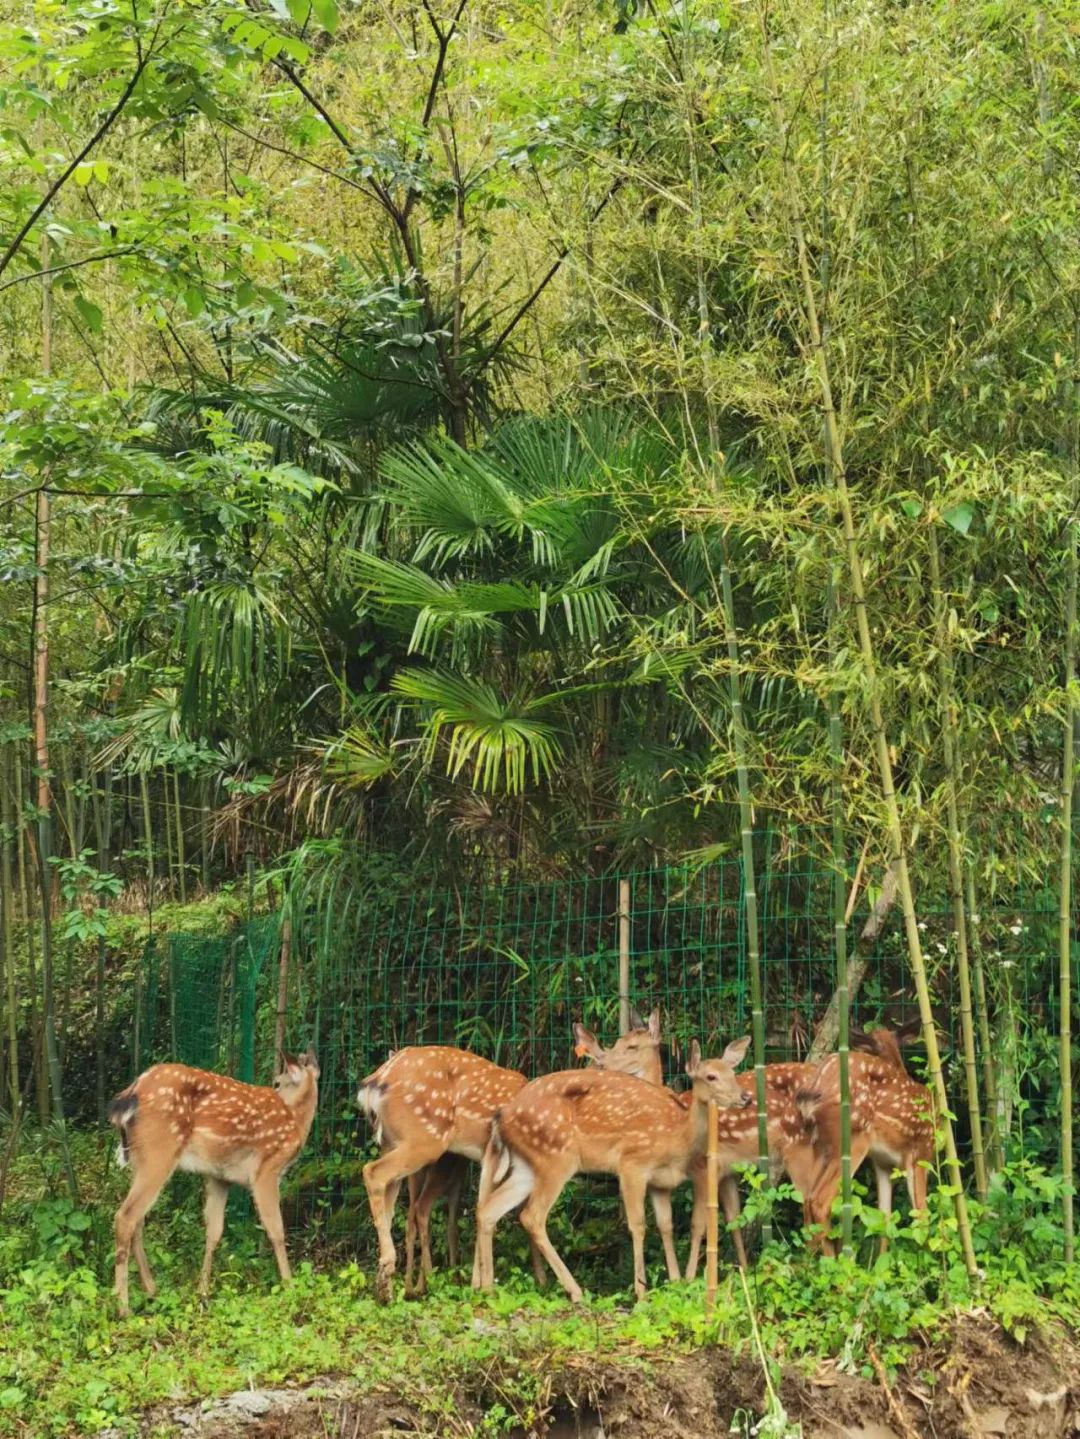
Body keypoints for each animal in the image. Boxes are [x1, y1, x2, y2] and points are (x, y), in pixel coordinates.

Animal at [108, 1049, 320, 1317]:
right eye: (277, 1083)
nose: (275, 1087)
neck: (296, 1121)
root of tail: (133, 1091)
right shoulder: (266, 1170)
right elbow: (276, 1229)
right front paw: (290, 1286)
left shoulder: (219, 1176)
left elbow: (214, 1231)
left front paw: (203, 1293)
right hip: (159, 1150)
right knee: (125, 1217)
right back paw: (124, 1307)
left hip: (140, 1159)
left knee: (137, 1219)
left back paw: (152, 1290)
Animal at [357, 1018, 661, 1301]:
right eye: (621, 1048)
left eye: (633, 1046)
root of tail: (374, 1082)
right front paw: (503, 1283)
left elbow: (489, 1208)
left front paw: (496, 1282)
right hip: (425, 1140)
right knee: (376, 1175)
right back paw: (402, 1276)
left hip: (396, 1144)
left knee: (401, 1203)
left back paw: (395, 1286)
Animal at [472, 1036, 753, 1303]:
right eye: (711, 1076)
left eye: (732, 1072)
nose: (745, 1097)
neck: (677, 1136)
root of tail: (501, 1116)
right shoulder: (632, 1164)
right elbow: (638, 1225)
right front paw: (641, 1292)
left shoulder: (660, 1183)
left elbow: (666, 1224)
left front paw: (675, 1282)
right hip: (556, 1158)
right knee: (532, 1216)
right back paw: (575, 1291)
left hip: (527, 1166)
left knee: (488, 1210)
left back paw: (488, 1289)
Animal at [796, 1019, 936, 1253]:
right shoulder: (921, 1152)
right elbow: (922, 1215)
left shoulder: (882, 1163)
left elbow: (885, 1218)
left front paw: (884, 1260)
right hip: (853, 1139)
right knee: (820, 1201)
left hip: (819, 1147)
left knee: (806, 1200)